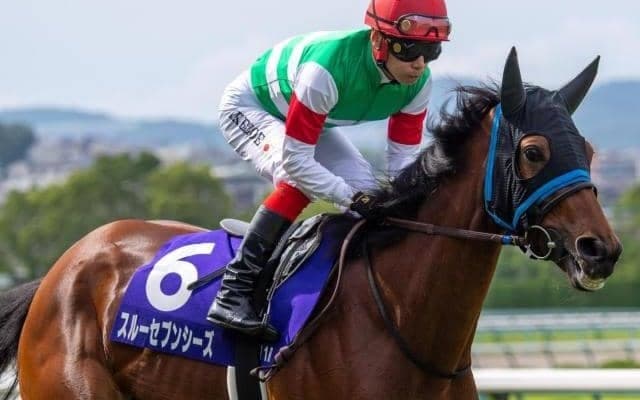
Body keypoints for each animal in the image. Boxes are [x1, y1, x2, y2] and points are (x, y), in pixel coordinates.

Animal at [0, 48, 622, 400]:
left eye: (591, 150)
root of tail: (61, 270)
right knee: (291, 172)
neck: (402, 322)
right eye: (535, 152)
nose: (603, 250)